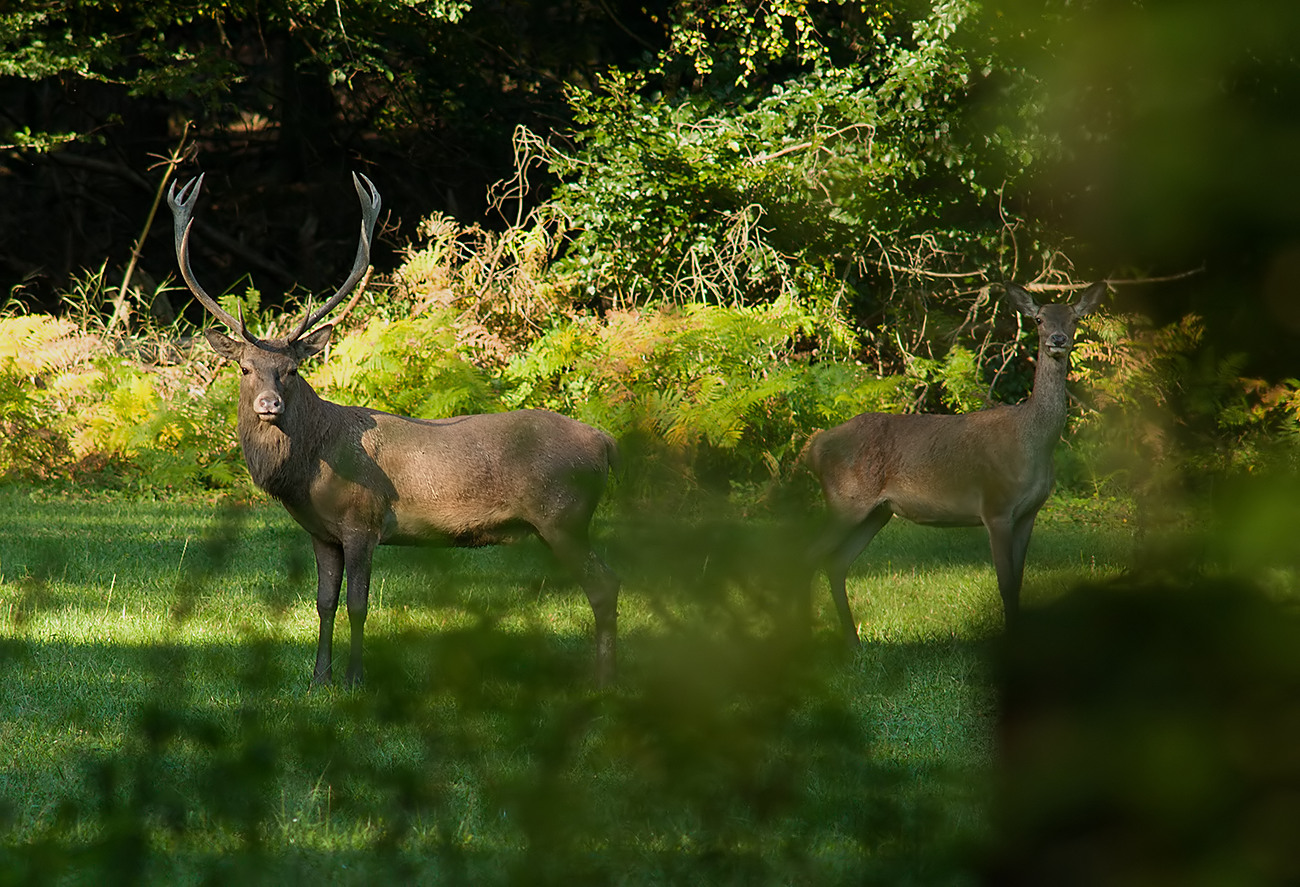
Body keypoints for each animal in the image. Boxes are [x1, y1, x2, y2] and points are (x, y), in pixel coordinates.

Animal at [169, 172, 624, 681]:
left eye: (291, 369)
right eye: (246, 368)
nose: (269, 404)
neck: (308, 471)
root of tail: (606, 442)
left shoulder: (363, 520)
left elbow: (358, 604)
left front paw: (354, 678)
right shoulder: (321, 533)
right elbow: (323, 603)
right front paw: (318, 678)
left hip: (564, 515)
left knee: (605, 584)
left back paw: (605, 679)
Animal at [800, 283, 1107, 642]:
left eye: (1075, 318)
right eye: (1039, 319)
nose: (1058, 339)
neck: (1032, 442)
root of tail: (816, 445)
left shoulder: (1029, 513)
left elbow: (1018, 584)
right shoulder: (995, 507)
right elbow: (1005, 585)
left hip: (876, 512)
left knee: (836, 563)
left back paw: (853, 639)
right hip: (845, 500)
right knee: (808, 557)